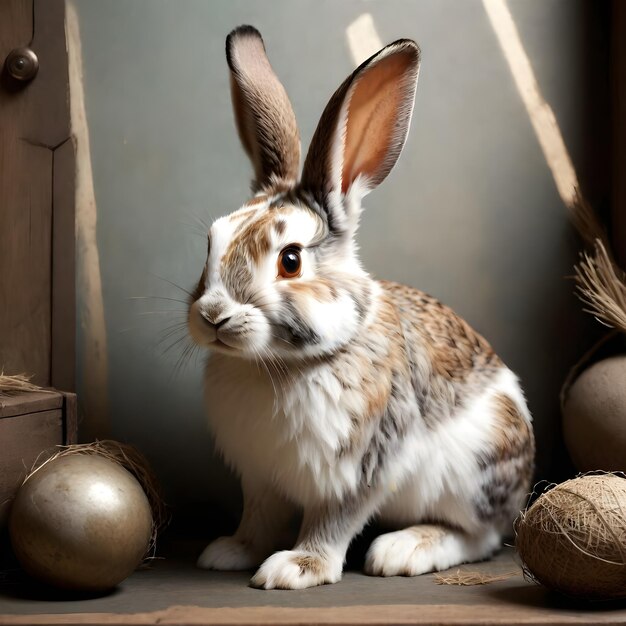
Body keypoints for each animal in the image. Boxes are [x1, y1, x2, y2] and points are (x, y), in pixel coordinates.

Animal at [185, 24, 532, 588]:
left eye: (290, 260)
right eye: (210, 243)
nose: (213, 315)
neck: (280, 364)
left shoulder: (358, 471)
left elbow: (332, 523)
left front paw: (295, 568)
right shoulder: (260, 477)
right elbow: (259, 517)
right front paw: (232, 552)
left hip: (474, 469)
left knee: (481, 536)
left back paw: (404, 549)